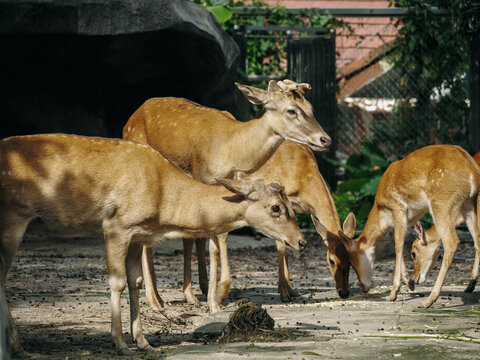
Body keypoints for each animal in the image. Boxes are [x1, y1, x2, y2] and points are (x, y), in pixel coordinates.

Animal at [0, 134, 306, 356]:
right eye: (276, 207)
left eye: (290, 205)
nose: (301, 241)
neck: (163, 200)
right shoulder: (116, 225)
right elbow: (117, 282)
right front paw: (121, 344)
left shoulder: (138, 234)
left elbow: (134, 281)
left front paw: (143, 342)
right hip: (13, 216)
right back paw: (18, 347)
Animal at [124, 79, 332, 312]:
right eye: (291, 110)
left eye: (311, 108)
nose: (325, 139)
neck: (232, 151)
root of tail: (128, 122)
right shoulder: (203, 179)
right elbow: (207, 236)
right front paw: (216, 294)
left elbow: (215, 237)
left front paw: (212, 297)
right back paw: (154, 301)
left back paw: (164, 297)